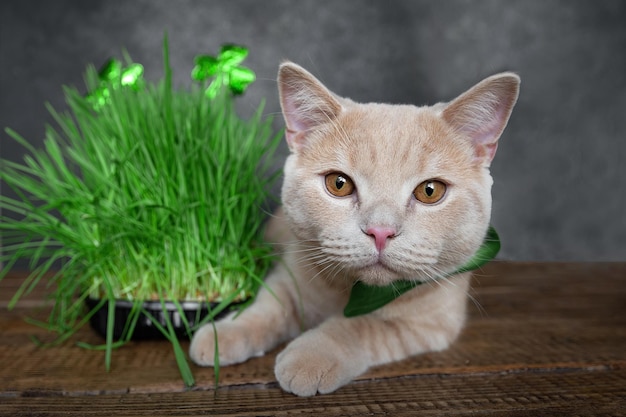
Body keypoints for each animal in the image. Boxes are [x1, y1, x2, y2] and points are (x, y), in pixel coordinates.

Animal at [188, 60, 520, 394]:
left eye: (430, 191)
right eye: (339, 184)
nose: (380, 232)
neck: (351, 293)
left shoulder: (430, 323)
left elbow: (361, 326)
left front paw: (312, 354)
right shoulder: (290, 273)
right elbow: (269, 305)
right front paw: (224, 333)